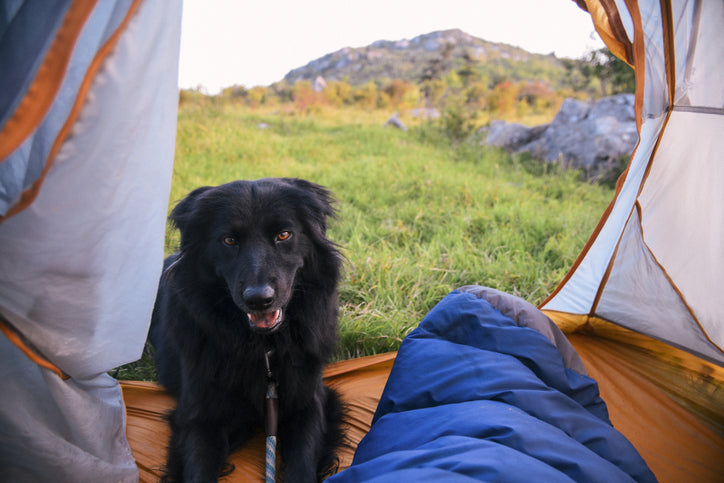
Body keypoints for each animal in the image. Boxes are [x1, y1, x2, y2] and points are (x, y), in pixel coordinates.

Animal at [148, 179, 346, 483]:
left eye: (283, 235)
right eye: (229, 240)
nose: (259, 299)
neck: (265, 347)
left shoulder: (309, 403)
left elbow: (302, 463)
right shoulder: (200, 417)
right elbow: (198, 469)